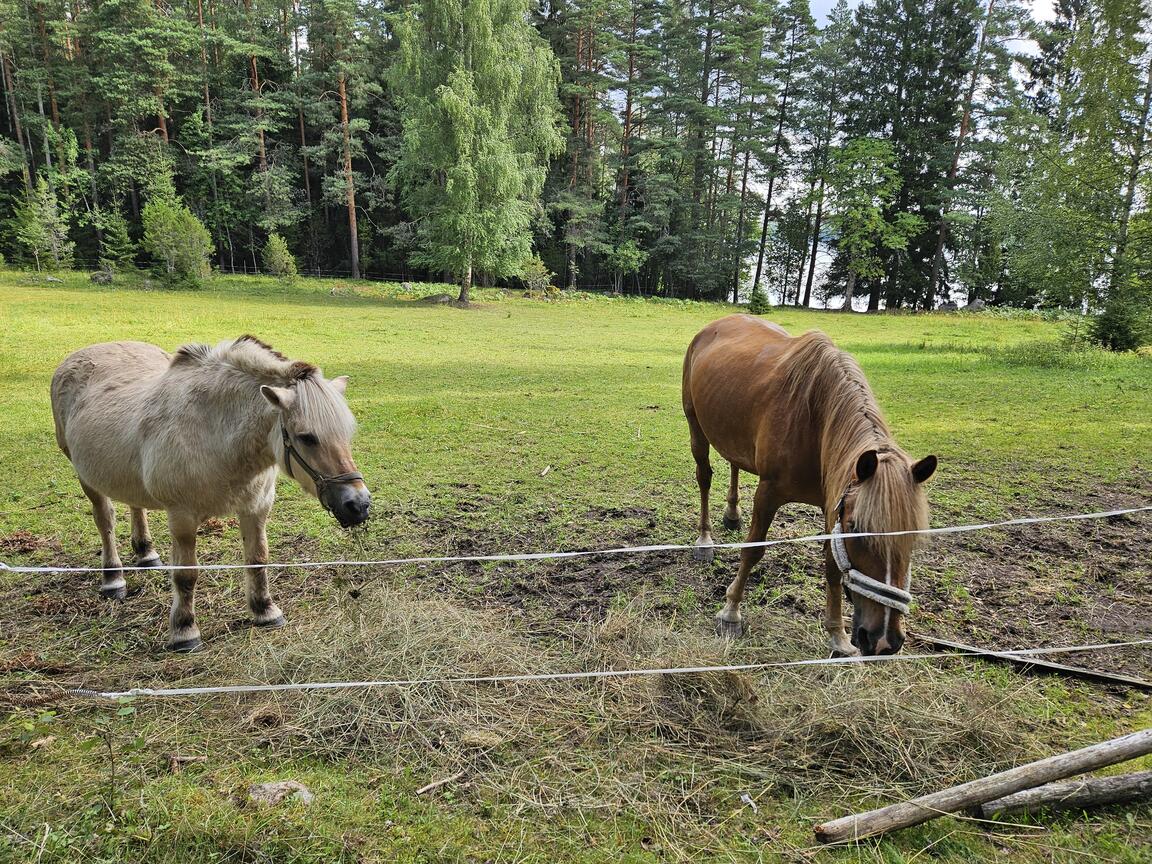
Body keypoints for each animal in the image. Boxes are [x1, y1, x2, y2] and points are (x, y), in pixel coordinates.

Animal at [681, 315, 935, 654]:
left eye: (913, 537)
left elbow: (832, 567)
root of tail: (714, 325)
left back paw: (732, 515)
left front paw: (838, 635)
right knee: (704, 478)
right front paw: (731, 612)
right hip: (696, 426)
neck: (816, 422)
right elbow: (753, 550)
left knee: (734, 462)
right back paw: (705, 539)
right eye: (856, 528)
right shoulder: (769, 493)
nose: (883, 640)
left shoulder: (833, 502)